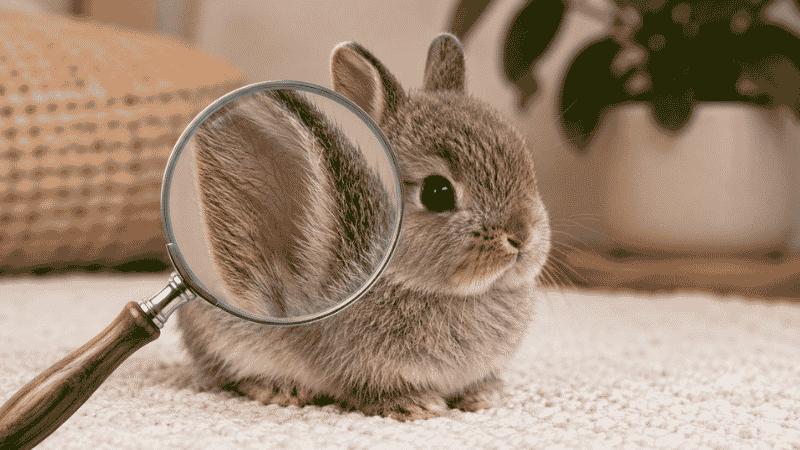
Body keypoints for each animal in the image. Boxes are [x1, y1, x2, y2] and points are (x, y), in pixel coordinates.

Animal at [177, 33, 552, 421]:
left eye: (526, 163)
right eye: (437, 192)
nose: (522, 237)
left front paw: (484, 395)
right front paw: (418, 405)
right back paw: (281, 389)